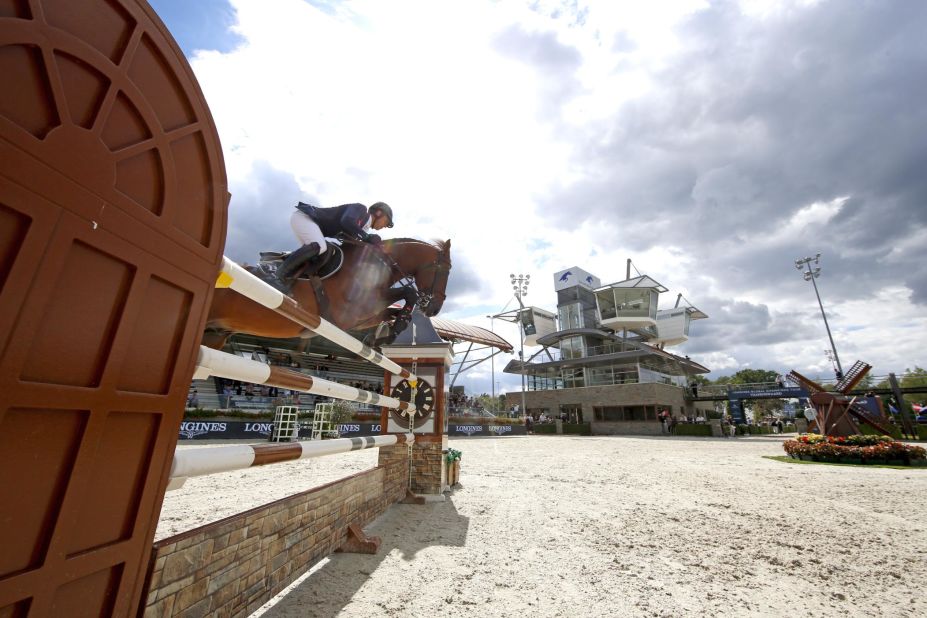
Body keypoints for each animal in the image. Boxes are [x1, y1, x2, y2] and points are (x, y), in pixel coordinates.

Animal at [204, 237, 454, 348]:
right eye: (445, 271)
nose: (434, 309)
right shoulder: (355, 311)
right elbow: (407, 293)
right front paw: (392, 330)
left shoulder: (363, 318)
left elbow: (390, 312)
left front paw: (383, 334)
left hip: (215, 334)